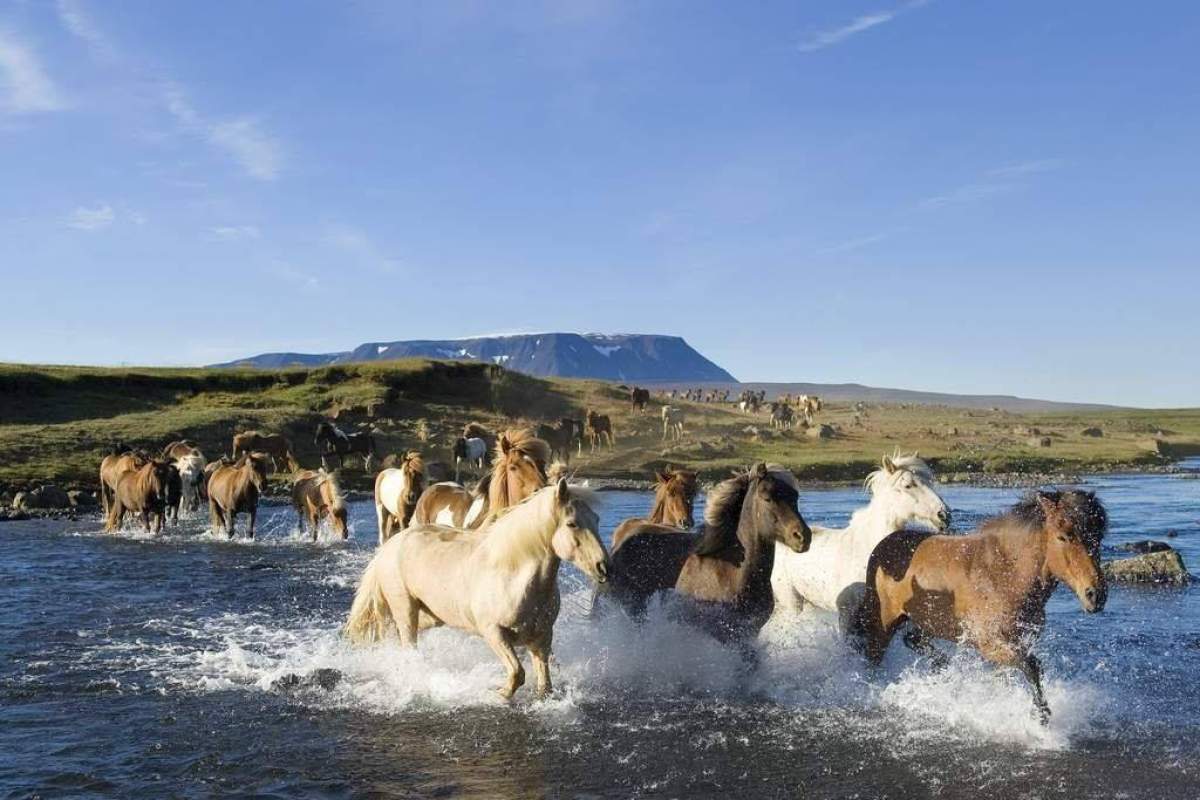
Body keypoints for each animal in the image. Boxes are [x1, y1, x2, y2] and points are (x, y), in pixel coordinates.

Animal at [348, 482, 609, 700]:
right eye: (572, 523)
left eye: (596, 519)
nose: (604, 568)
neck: (513, 575)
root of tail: (389, 546)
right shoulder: (493, 632)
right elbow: (517, 673)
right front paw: (499, 694)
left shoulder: (542, 637)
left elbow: (544, 684)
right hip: (405, 610)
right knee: (407, 643)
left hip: (431, 616)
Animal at [854, 489, 1104, 724]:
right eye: (1063, 537)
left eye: (1098, 537)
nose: (1095, 595)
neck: (1005, 576)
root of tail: (884, 545)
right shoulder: (990, 644)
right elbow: (1032, 666)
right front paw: (1042, 718)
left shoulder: (1018, 642)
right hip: (882, 625)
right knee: (874, 659)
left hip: (930, 622)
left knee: (913, 639)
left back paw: (942, 667)